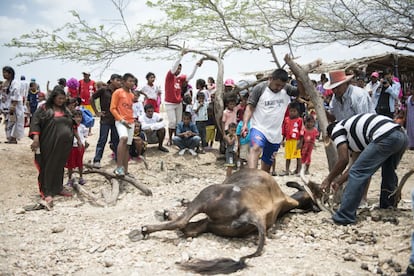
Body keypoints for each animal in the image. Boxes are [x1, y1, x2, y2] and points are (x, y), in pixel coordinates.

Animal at [134, 168, 318, 274]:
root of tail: (255, 216)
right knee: (189, 229)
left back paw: (146, 227)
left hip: (207, 195)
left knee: (182, 222)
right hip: (211, 224)